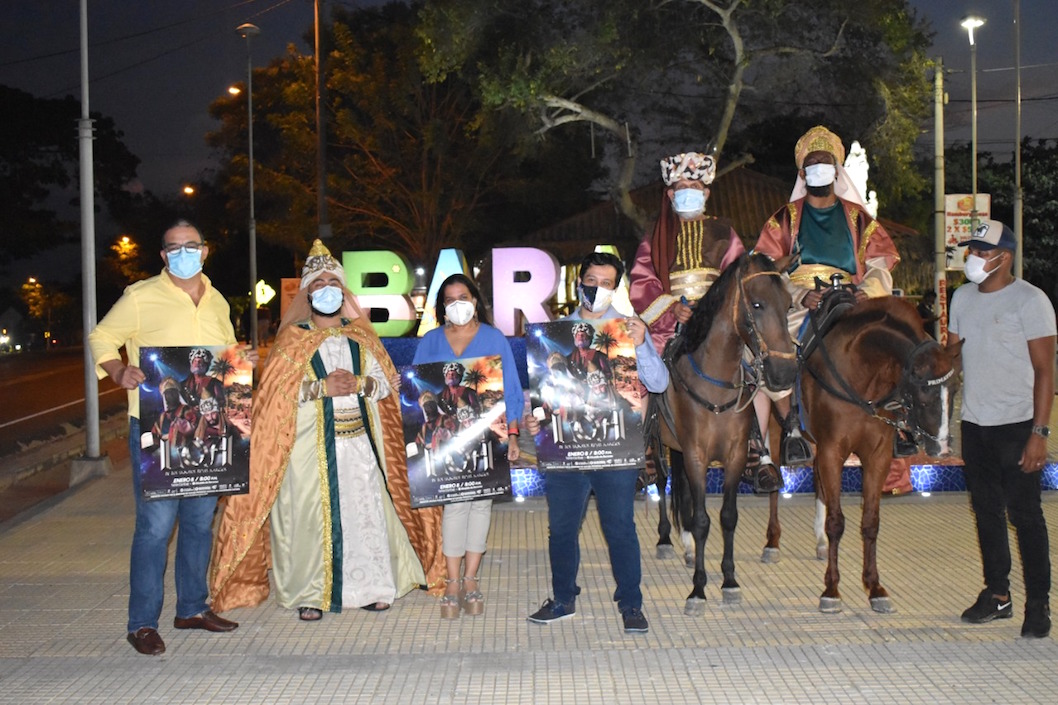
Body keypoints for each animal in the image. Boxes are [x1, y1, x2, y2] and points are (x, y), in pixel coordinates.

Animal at [647, 254, 795, 613]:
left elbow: (728, 517)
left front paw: (729, 581)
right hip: (662, 444)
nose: (786, 372)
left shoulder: (735, 455)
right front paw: (698, 590)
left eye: (789, 305)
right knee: (662, 480)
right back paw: (665, 538)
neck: (715, 382)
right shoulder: (697, 455)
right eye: (757, 304)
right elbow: (702, 520)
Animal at [799, 294, 960, 609]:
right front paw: (831, 589)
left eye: (956, 389)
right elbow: (837, 522)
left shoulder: (877, 457)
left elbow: (871, 522)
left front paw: (874, 587)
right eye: (924, 395)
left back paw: (820, 542)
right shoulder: (832, 451)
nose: (942, 449)